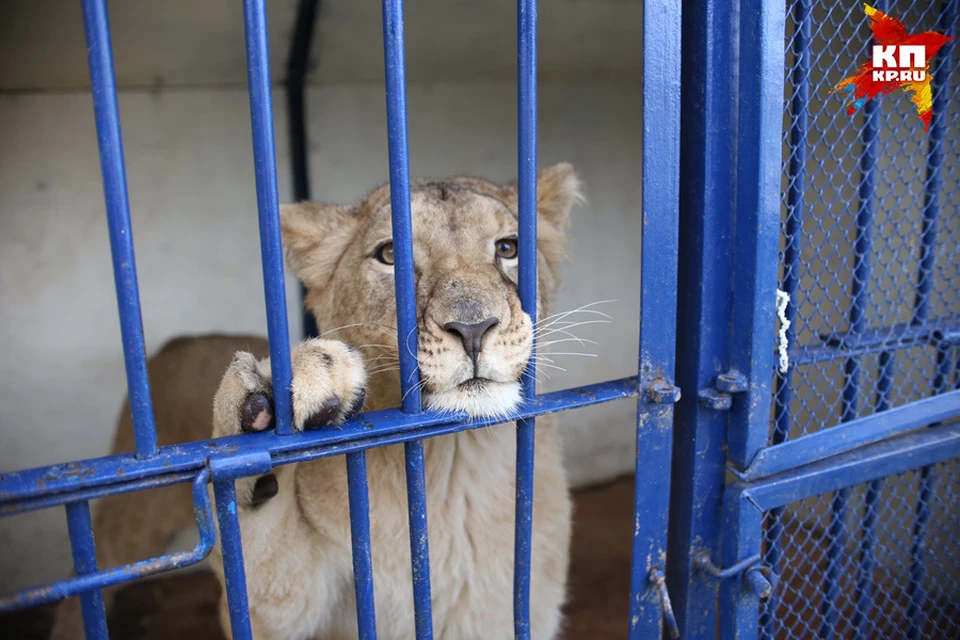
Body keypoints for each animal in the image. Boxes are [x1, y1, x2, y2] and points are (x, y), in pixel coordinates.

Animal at [52, 162, 580, 636]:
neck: (451, 472)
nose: (472, 329)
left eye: (508, 247)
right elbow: (257, 568)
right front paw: (274, 396)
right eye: (390, 254)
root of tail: (174, 343)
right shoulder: (290, 607)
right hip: (131, 518)